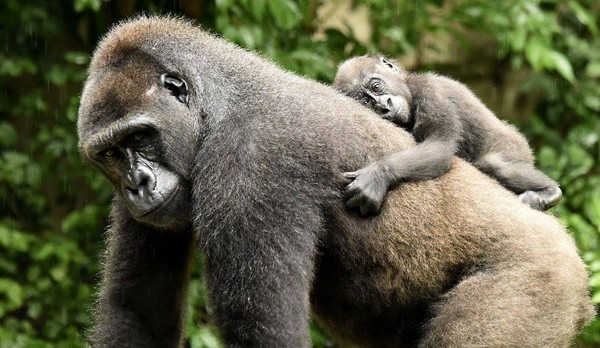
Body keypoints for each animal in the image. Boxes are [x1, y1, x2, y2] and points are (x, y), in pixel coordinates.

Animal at [332, 53, 564, 215]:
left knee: (497, 165)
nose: (384, 106)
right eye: (367, 103)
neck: (410, 88)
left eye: (376, 86)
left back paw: (549, 192)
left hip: (516, 146)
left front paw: (377, 174)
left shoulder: (431, 91)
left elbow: (440, 145)